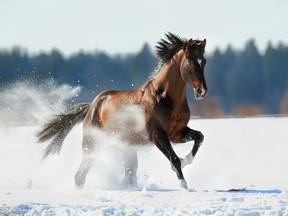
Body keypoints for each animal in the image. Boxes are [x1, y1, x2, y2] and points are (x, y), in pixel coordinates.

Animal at [37, 33, 207, 190]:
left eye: (204, 61)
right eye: (191, 60)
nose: (202, 91)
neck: (164, 97)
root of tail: (92, 106)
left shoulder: (176, 133)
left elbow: (199, 137)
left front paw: (186, 161)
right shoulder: (157, 135)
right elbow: (174, 158)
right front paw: (183, 184)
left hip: (127, 147)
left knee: (127, 173)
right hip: (92, 143)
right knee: (81, 174)